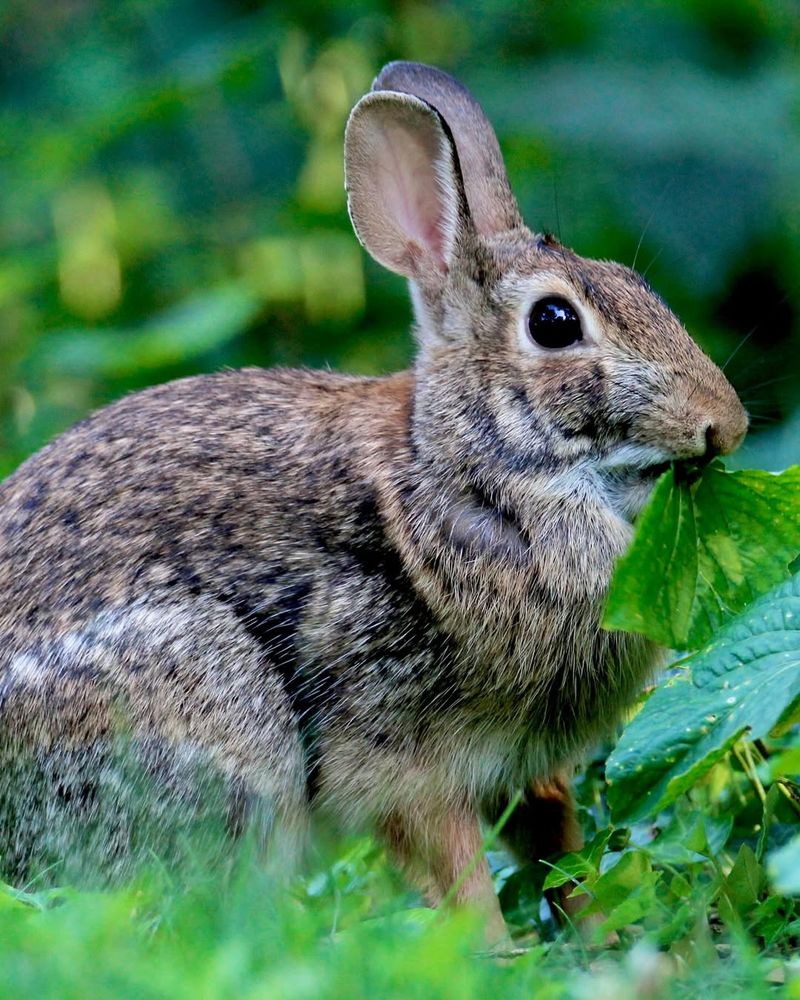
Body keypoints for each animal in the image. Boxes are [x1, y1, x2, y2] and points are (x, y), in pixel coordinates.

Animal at [0, 61, 747, 944]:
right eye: (555, 322)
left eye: (640, 287)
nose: (725, 423)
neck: (473, 471)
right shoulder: (401, 756)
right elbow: (457, 868)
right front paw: (494, 955)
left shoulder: (529, 767)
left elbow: (557, 850)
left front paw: (601, 939)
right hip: (207, 712)